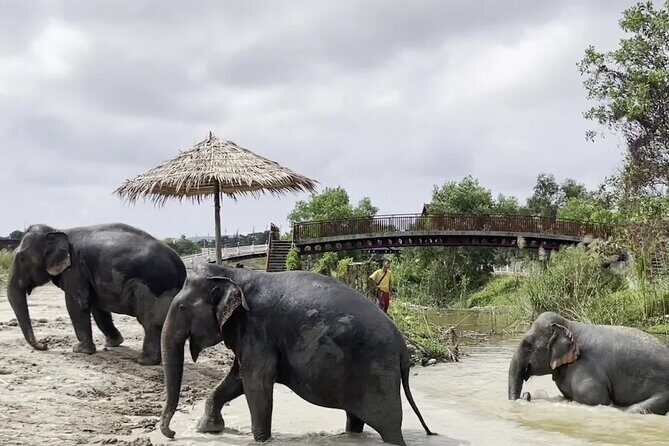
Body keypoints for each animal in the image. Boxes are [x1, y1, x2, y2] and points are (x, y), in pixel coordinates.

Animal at [7, 223, 186, 365]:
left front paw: (80, 350)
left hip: (152, 287)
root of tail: (179, 265)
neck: (59, 230)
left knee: (150, 322)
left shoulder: (75, 269)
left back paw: (144, 361)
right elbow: (97, 306)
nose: (44, 345)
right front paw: (113, 344)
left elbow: (76, 303)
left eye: (22, 258)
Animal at [159, 264, 435, 445]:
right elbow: (237, 379)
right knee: (356, 416)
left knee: (389, 427)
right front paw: (207, 429)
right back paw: (351, 435)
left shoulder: (257, 328)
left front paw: (261, 440)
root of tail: (402, 345)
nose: (172, 434)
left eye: (181, 307)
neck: (235, 275)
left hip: (378, 372)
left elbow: (256, 381)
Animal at [508, 311, 669, 414]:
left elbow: (600, 401)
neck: (570, 325)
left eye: (528, 345)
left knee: (635, 410)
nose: (526, 394)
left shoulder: (587, 371)